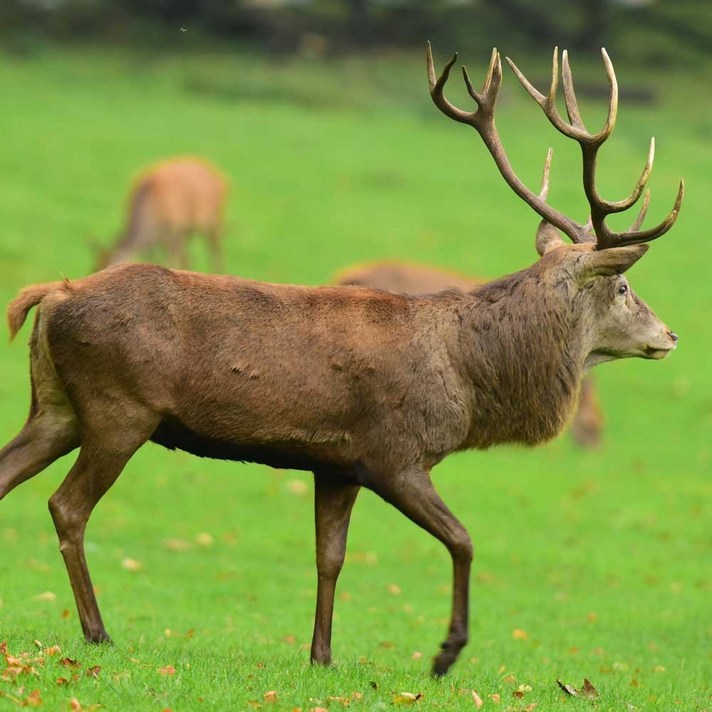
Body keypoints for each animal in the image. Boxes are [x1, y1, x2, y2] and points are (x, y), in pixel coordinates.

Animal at [95, 157, 228, 272]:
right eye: (95, 267)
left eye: (108, 266)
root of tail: (220, 176)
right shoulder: (155, 242)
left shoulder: (172, 232)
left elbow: (169, 262)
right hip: (188, 230)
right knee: (189, 256)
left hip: (214, 220)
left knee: (215, 251)